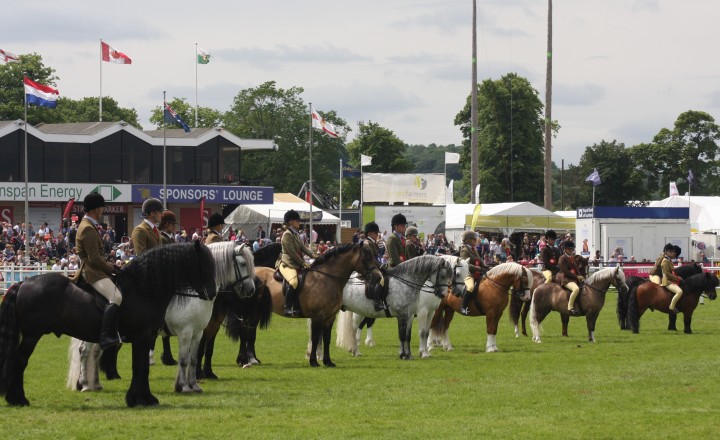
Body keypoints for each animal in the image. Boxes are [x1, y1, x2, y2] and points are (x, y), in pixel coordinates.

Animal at [0, 241, 217, 406]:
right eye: (202, 265)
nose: (212, 293)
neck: (143, 289)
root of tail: (23, 283)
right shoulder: (144, 336)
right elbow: (140, 366)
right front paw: (139, 399)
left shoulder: (149, 337)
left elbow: (142, 367)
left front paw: (144, 398)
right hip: (32, 335)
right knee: (20, 361)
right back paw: (19, 399)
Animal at [67, 242, 253, 394]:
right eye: (243, 264)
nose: (251, 290)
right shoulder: (185, 332)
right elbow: (184, 360)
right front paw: (184, 387)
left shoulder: (198, 332)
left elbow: (193, 359)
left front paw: (194, 385)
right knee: (85, 352)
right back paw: (85, 384)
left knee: (95, 353)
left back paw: (96, 383)